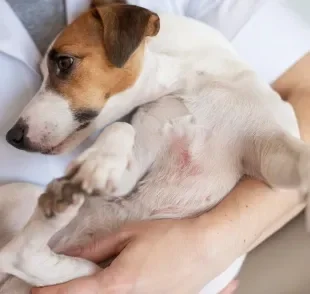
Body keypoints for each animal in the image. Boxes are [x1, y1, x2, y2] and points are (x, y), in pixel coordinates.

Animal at [0, 0, 308, 294]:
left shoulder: (272, 153)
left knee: (21, 256)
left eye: (64, 62)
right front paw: (100, 161)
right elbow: (121, 127)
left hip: (86, 266)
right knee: (18, 254)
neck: (195, 82)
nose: (12, 136)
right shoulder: (137, 157)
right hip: (23, 198)